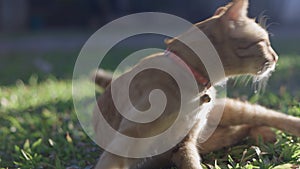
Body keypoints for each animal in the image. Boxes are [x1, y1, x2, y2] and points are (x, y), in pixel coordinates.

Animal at [92, 0, 298, 168]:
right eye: (264, 42)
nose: (276, 57)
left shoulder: (185, 143)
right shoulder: (142, 141)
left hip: (232, 112)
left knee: (266, 116)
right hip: (214, 137)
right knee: (240, 129)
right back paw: (262, 135)